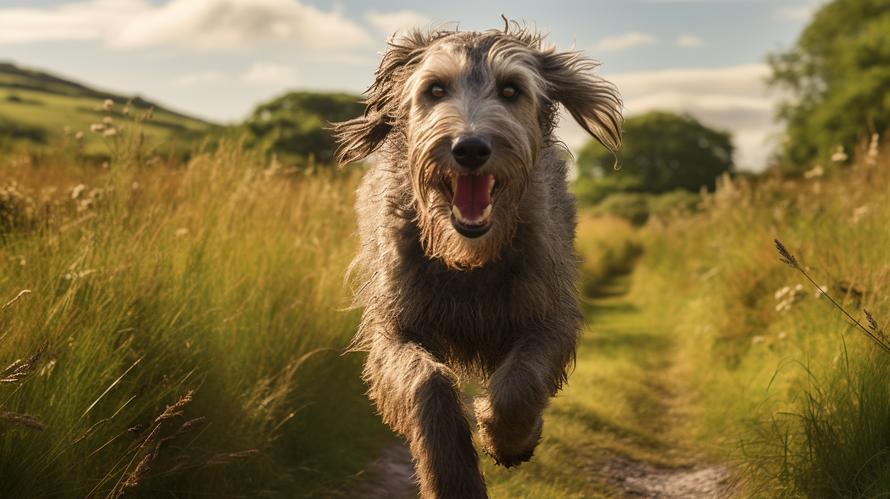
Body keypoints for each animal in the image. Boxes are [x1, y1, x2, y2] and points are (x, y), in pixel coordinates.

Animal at [332, 20, 616, 499]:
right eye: (435, 89)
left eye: (510, 89)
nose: (470, 148)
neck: (467, 260)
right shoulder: (394, 325)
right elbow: (427, 381)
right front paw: (452, 475)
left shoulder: (549, 313)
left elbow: (519, 384)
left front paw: (508, 437)